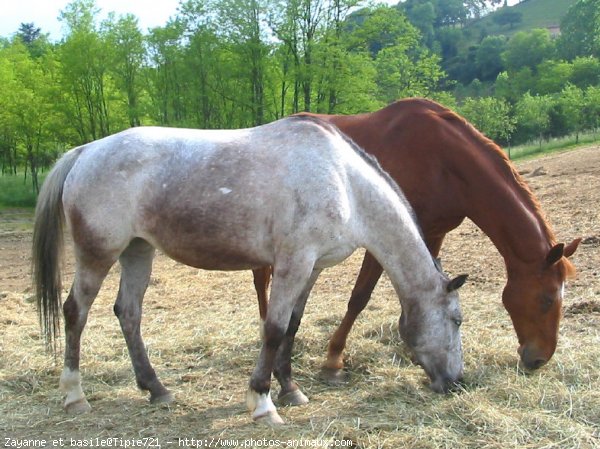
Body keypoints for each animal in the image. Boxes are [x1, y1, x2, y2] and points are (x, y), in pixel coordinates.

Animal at [34, 115, 468, 424]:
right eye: (456, 320)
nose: (457, 383)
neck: (343, 181)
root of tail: (85, 151)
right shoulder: (293, 263)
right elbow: (273, 329)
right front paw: (262, 402)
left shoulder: (311, 268)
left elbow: (292, 326)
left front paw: (290, 390)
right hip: (98, 253)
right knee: (75, 312)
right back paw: (74, 395)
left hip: (138, 251)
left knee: (128, 313)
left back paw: (157, 389)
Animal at [251, 99, 580, 382]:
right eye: (547, 299)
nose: (538, 359)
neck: (444, 161)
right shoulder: (382, 234)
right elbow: (359, 297)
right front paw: (334, 359)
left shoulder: (432, 233)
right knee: (261, 279)